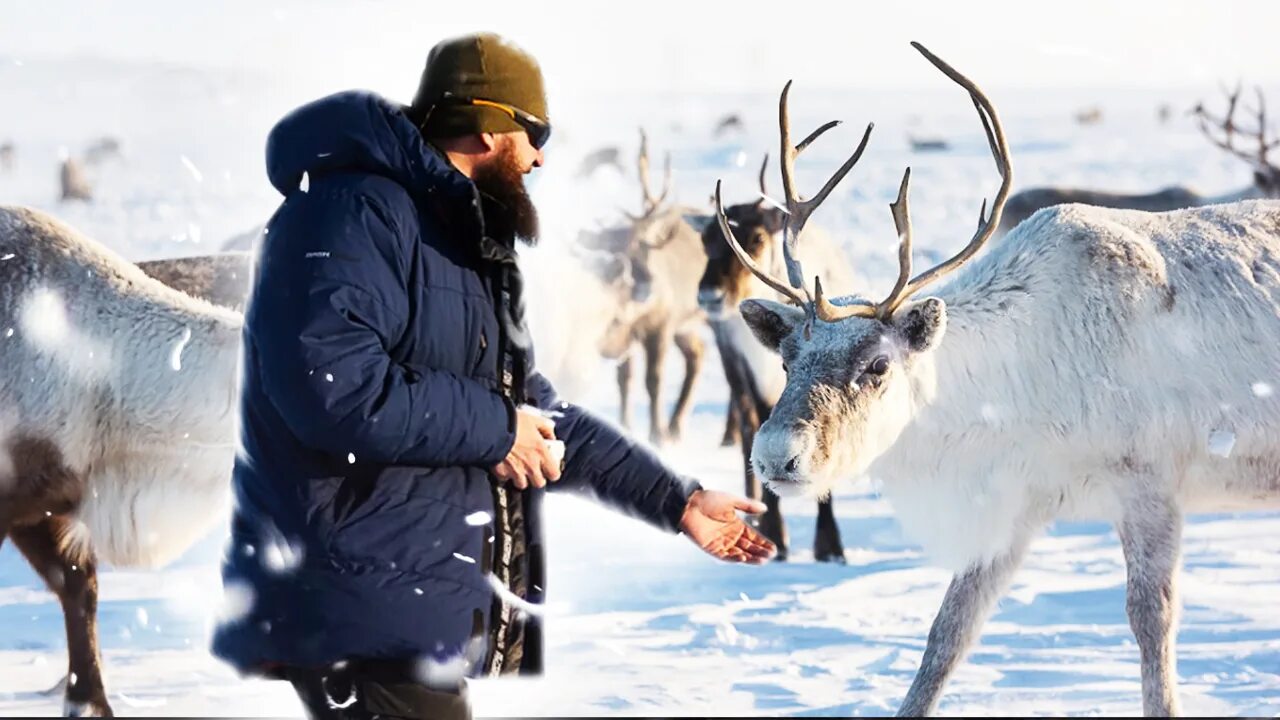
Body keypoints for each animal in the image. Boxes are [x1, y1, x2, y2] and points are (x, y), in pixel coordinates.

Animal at [573, 128, 711, 443]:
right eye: (614, 255)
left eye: (643, 254)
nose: (647, 290)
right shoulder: (628, 334)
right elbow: (626, 379)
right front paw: (626, 425)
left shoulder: (661, 324)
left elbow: (654, 380)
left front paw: (656, 433)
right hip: (686, 325)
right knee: (698, 352)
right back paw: (677, 425)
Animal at [686, 149, 855, 561]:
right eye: (704, 240)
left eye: (758, 237)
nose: (709, 296)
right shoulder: (749, 369)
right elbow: (760, 428)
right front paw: (776, 534)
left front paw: (830, 546)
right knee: (747, 427)